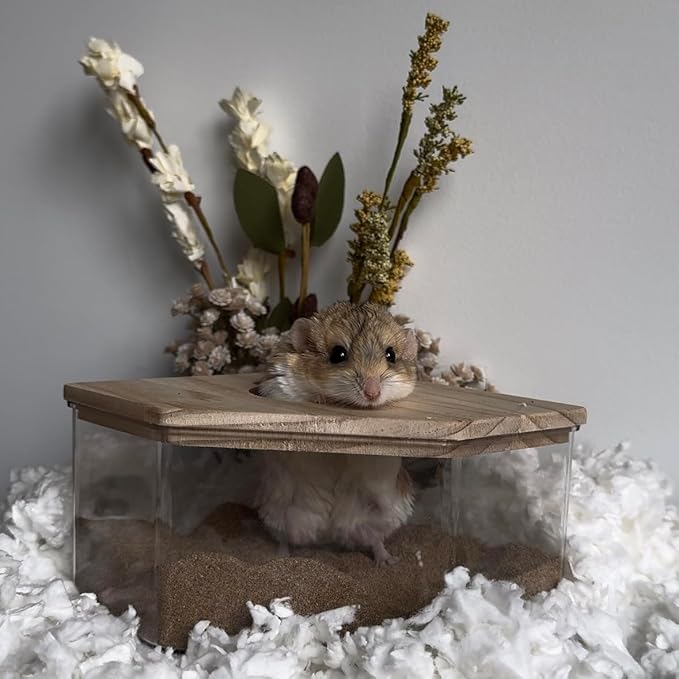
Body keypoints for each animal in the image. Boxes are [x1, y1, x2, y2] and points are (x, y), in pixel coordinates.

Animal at [253, 302, 419, 565]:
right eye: (338, 354)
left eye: (391, 355)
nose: (372, 394)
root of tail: (330, 533)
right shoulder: (280, 388)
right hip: (276, 511)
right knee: (283, 538)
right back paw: (280, 558)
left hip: (387, 514)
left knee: (376, 540)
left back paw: (388, 561)